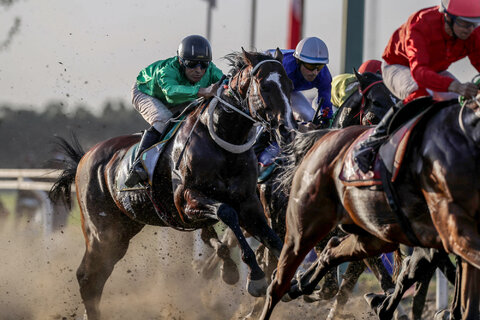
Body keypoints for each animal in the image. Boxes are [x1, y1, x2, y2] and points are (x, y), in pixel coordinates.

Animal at [48, 48, 296, 320]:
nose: (288, 130)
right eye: (265, 86)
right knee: (87, 277)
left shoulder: (249, 203)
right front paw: (255, 277)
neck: (221, 142)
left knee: (96, 277)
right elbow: (226, 212)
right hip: (102, 232)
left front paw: (289, 278)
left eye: (289, 85)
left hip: (123, 229)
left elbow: (272, 237)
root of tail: (84, 158)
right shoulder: (185, 202)